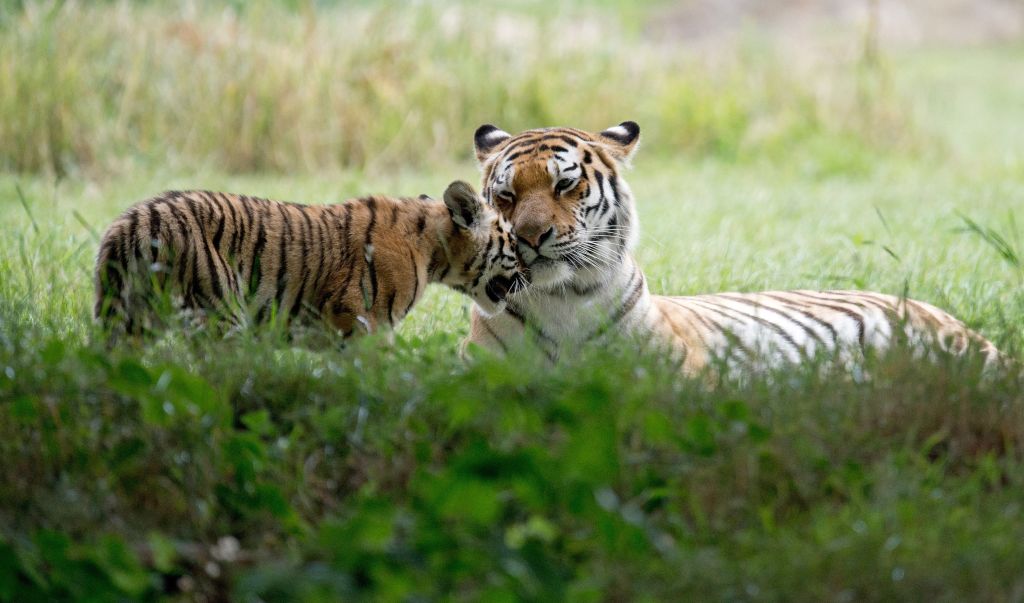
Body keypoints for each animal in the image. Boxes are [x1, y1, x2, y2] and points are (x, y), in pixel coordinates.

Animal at [94, 180, 527, 340]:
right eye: (514, 243)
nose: (530, 271)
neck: (435, 251)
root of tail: (133, 221)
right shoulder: (362, 322)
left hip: (127, 321)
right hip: (219, 314)